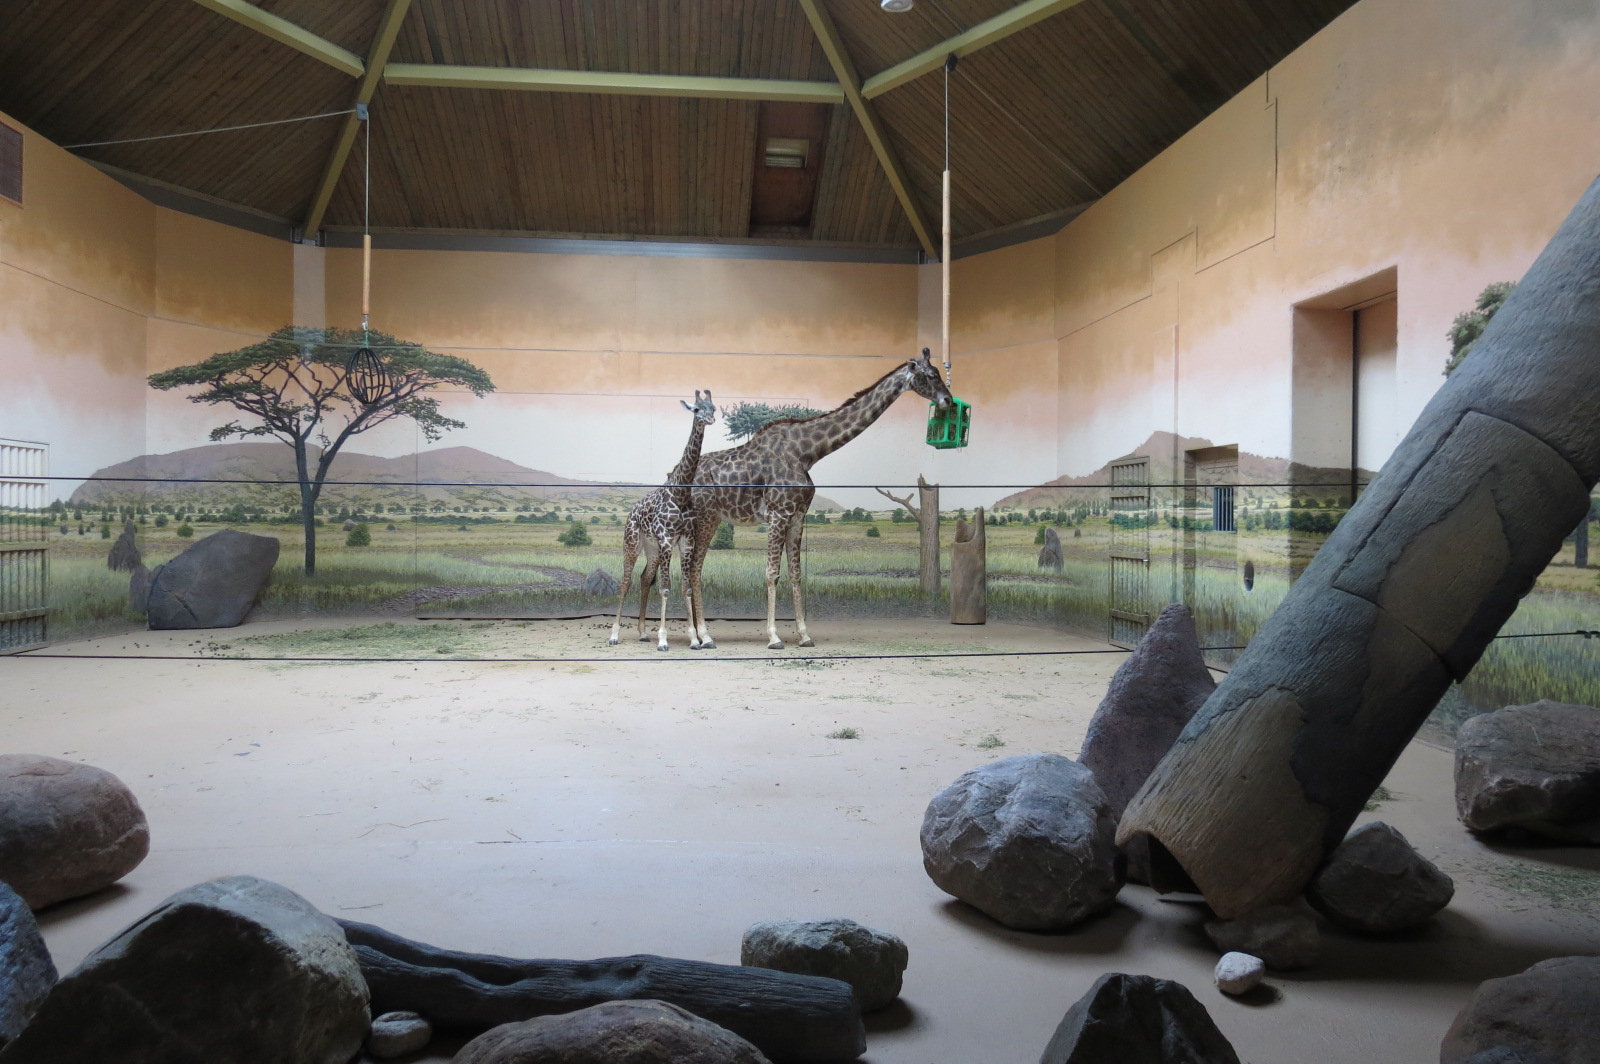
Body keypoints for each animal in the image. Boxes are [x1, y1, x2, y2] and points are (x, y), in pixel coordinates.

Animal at [609, 390, 717, 651]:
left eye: (714, 408)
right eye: (696, 409)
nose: (710, 419)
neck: (680, 493)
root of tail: (630, 513)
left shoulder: (686, 540)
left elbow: (686, 587)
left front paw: (695, 639)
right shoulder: (667, 539)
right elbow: (666, 588)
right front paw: (663, 639)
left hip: (652, 549)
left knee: (644, 578)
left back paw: (642, 633)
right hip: (632, 543)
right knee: (625, 581)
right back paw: (614, 635)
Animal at [684, 350, 952, 650]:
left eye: (939, 372)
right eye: (931, 375)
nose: (949, 401)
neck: (806, 453)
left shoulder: (798, 514)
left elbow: (796, 573)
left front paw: (804, 635)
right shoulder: (778, 513)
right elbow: (771, 572)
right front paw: (774, 637)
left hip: (710, 519)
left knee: (693, 567)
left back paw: (701, 635)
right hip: (705, 517)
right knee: (693, 568)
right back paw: (703, 636)